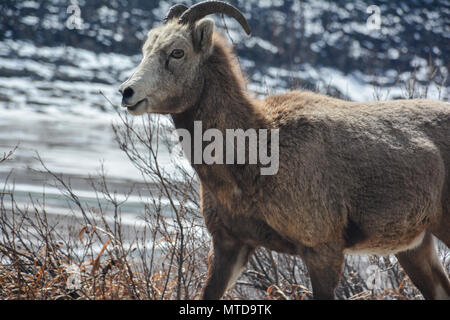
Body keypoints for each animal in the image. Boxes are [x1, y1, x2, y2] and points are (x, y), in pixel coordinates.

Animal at [119, 1, 450, 298]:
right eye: (146, 49)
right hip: (415, 248)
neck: (254, 152)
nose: (127, 92)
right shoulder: (230, 245)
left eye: (177, 52)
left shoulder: (322, 251)